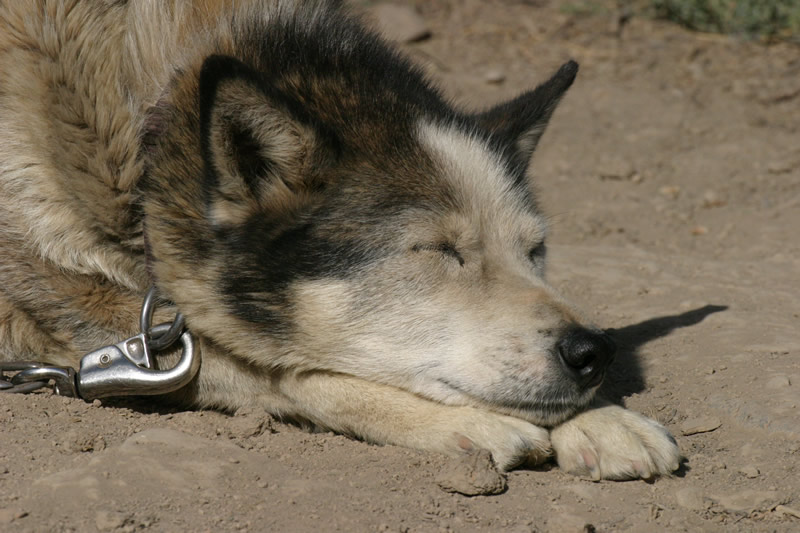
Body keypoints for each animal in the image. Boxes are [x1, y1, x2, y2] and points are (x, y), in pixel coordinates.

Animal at [0, 0, 680, 476]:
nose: (593, 352)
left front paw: (602, 420)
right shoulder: (74, 305)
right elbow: (284, 371)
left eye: (535, 251)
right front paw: (479, 423)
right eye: (438, 252)